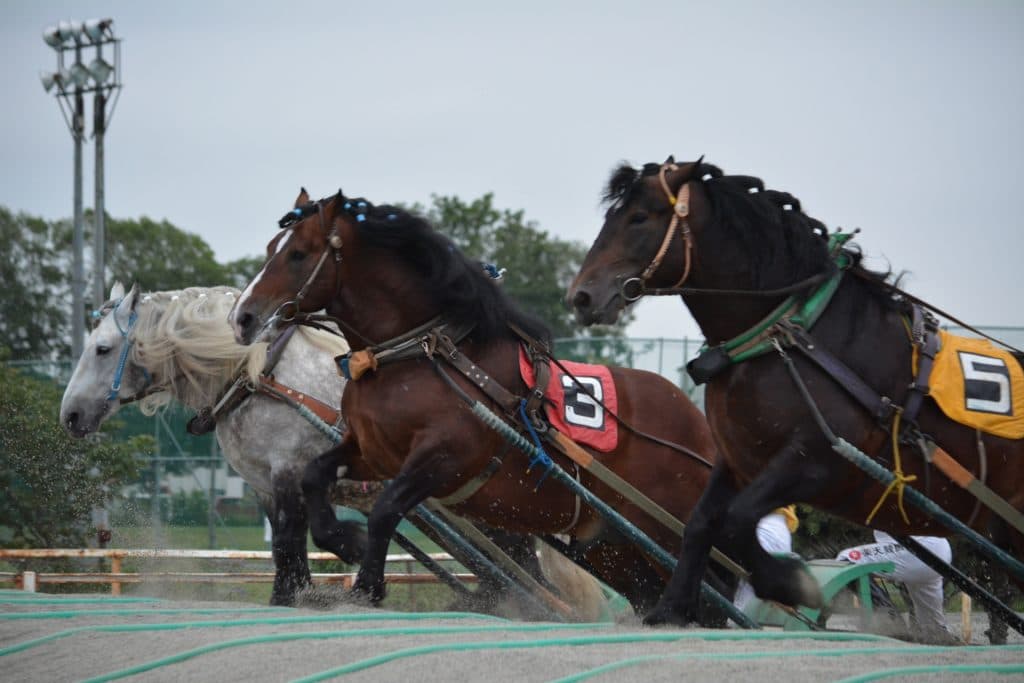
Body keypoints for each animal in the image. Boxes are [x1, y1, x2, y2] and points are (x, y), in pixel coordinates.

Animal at [60, 282, 606, 619]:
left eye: (103, 349)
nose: (70, 416)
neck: (254, 376)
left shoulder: (291, 470)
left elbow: (303, 536)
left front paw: (353, 552)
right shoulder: (265, 485)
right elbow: (285, 546)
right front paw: (292, 596)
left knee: (528, 574)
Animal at [228, 188, 727, 619]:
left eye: (298, 253)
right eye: (273, 246)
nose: (244, 318)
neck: (419, 355)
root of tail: (700, 427)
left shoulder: (445, 457)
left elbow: (387, 507)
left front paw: (368, 585)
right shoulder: (370, 451)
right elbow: (315, 476)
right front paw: (343, 539)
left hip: (666, 534)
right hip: (612, 547)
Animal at [568, 157, 1024, 626]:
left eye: (639, 217)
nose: (581, 296)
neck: (797, 337)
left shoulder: (820, 462)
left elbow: (736, 519)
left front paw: (788, 582)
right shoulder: (739, 460)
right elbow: (702, 521)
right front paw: (673, 606)